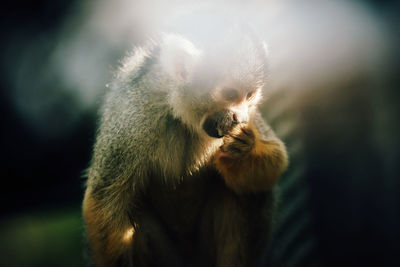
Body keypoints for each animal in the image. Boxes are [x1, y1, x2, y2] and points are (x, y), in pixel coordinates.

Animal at [83, 31, 288, 267]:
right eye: (229, 93)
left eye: (250, 95)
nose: (241, 117)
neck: (177, 109)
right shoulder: (134, 115)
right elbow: (104, 199)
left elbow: (277, 160)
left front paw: (243, 152)